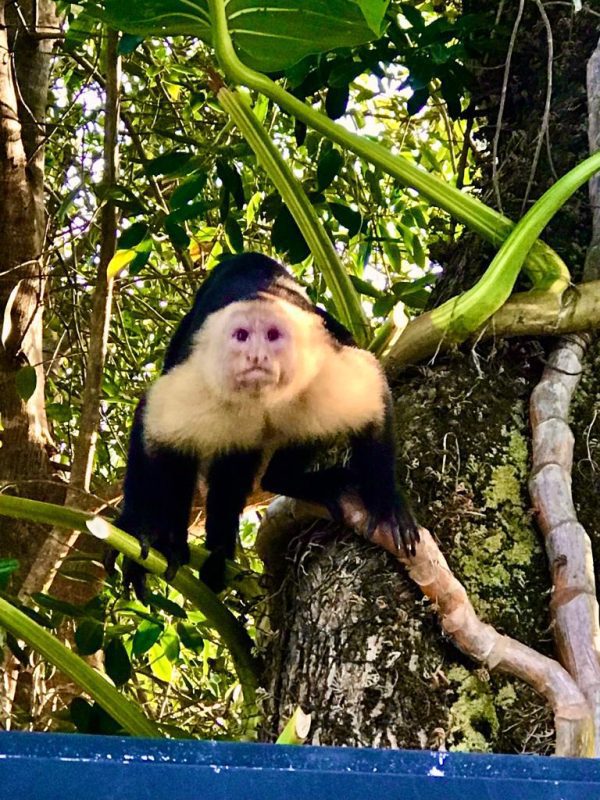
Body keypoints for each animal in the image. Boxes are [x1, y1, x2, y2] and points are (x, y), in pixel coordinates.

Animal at [106, 253, 418, 596]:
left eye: (272, 335)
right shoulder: (201, 381)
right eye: (242, 335)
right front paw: (140, 530)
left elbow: (372, 391)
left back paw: (288, 484)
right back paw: (182, 546)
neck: (262, 400)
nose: (257, 356)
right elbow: (150, 418)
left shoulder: (322, 371)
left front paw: (384, 501)